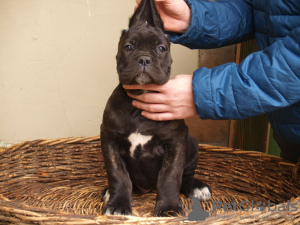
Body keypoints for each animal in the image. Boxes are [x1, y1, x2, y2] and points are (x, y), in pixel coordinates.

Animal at [101, 0, 211, 216]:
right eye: (128, 47)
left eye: (161, 48)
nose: (144, 59)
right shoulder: (109, 139)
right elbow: (118, 174)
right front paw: (118, 204)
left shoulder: (176, 142)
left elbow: (170, 176)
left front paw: (168, 208)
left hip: (192, 143)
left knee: (185, 176)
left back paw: (197, 187)